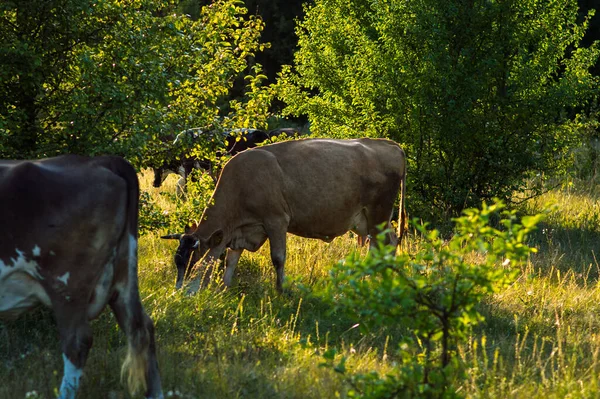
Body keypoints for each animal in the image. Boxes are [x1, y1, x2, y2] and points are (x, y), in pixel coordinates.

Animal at [162, 138, 408, 294]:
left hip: (379, 214)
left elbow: (278, 257)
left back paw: (373, 280)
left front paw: (281, 290)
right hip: (369, 220)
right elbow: (231, 259)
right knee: (387, 243)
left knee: (381, 246)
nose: (178, 292)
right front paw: (226, 286)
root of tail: (388, 143)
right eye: (177, 262)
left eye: (193, 262)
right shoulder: (239, 231)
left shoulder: (276, 220)